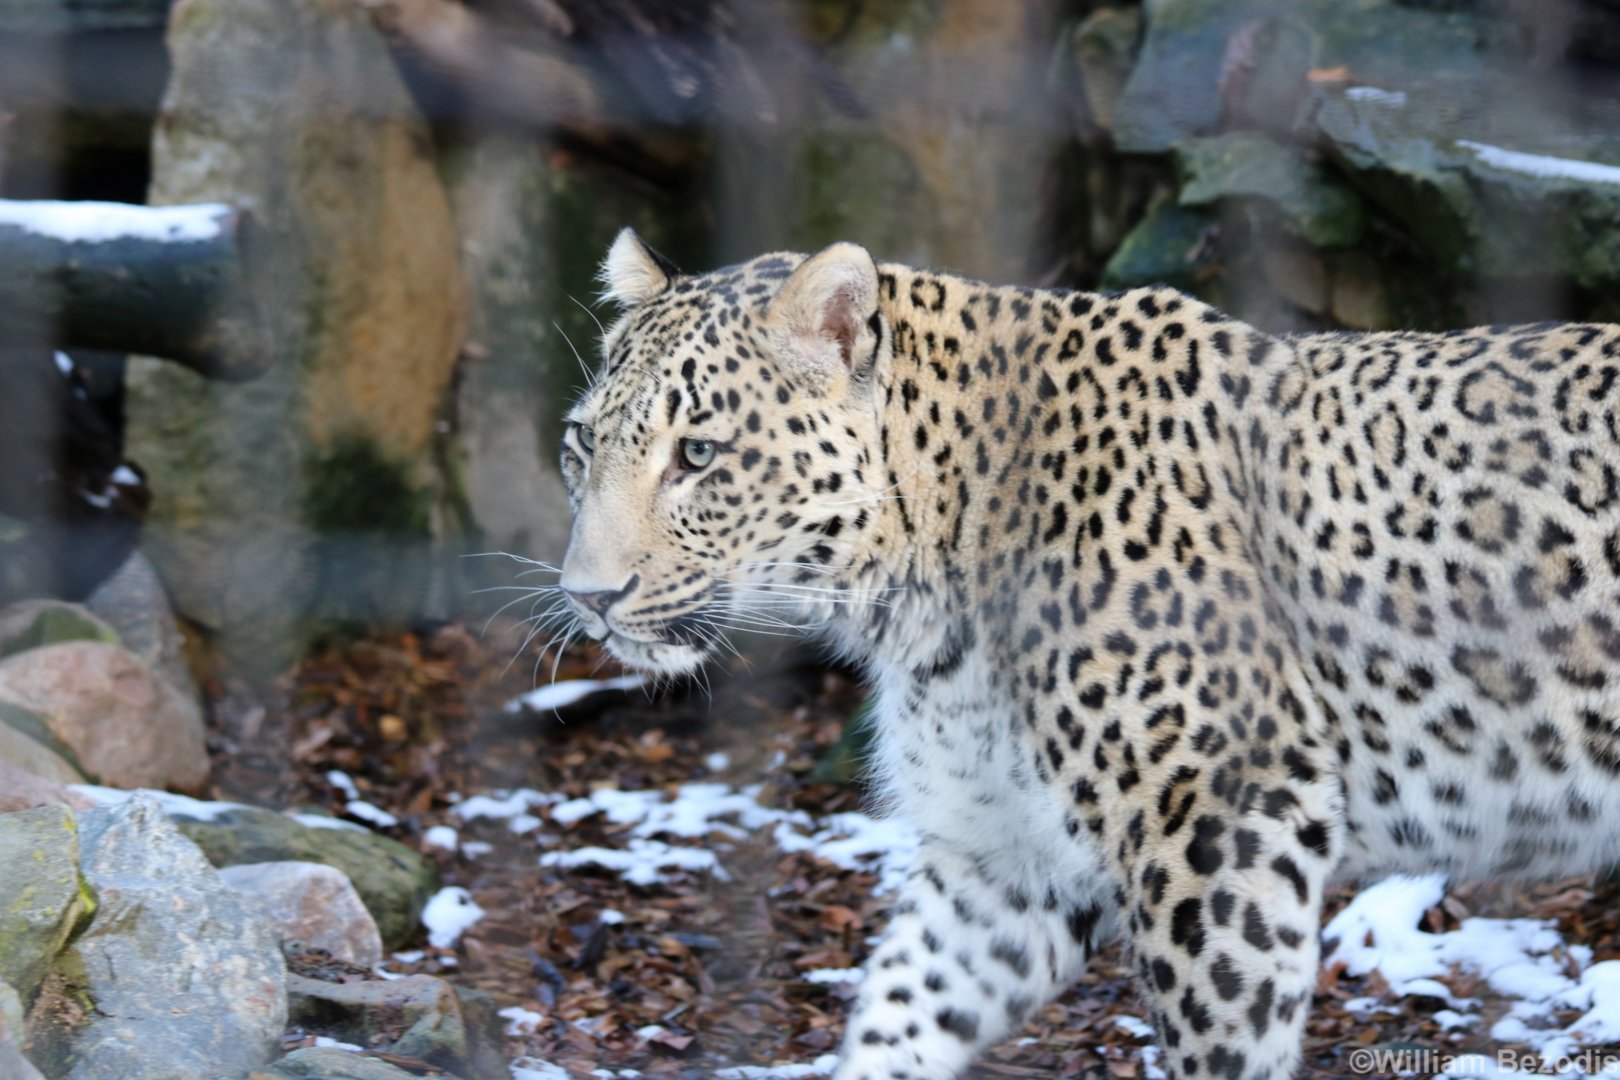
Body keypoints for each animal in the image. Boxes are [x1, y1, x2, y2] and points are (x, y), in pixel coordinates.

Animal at [555, 227, 1620, 1080]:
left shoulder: (1223, 829)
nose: (586, 596)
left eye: (698, 456)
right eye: (581, 446)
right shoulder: (1004, 860)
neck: (917, 585)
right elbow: (900, 1014)